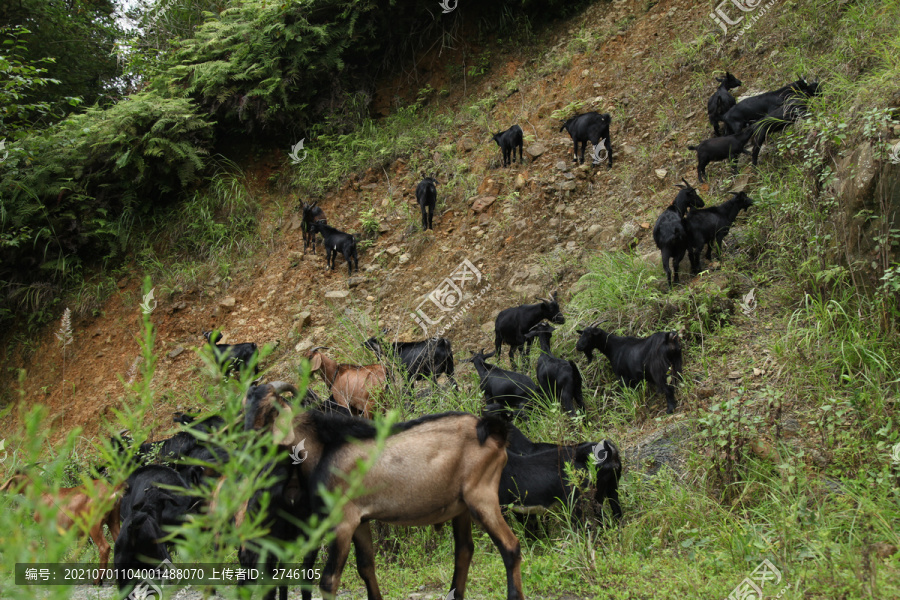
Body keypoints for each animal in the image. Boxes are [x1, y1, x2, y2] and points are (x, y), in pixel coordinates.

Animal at [244, 384, 528, 600]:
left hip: (481, 495)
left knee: (510, 547)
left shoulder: (342, 522)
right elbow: (366, 567)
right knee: (464, 550)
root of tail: (491, 430)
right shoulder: (360, 520)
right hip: (462, 506)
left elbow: (329, 581)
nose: (247, 440)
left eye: (270, 411)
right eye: (247, 406)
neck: (326, 448)